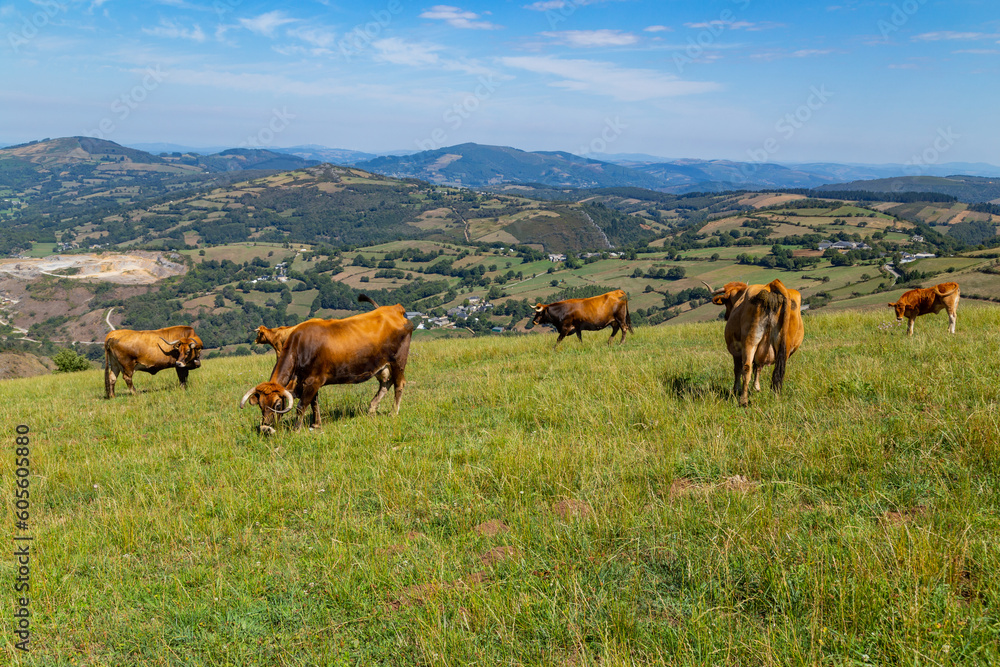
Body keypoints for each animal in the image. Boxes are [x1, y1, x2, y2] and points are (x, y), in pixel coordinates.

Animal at [240, 296, 412, 434]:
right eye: (260, 405)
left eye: (276, 404)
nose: (265, 426)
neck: (299, 347)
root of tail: (394, 309)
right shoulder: (308, 382)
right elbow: (314, 404)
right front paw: (316, 425)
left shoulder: (313, 381)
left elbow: (301, 406)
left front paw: (296, 429)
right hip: (381, 366)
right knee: (386, 383)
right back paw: (372, 407)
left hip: (398, 360)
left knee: (399, 384)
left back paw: (393, 412)